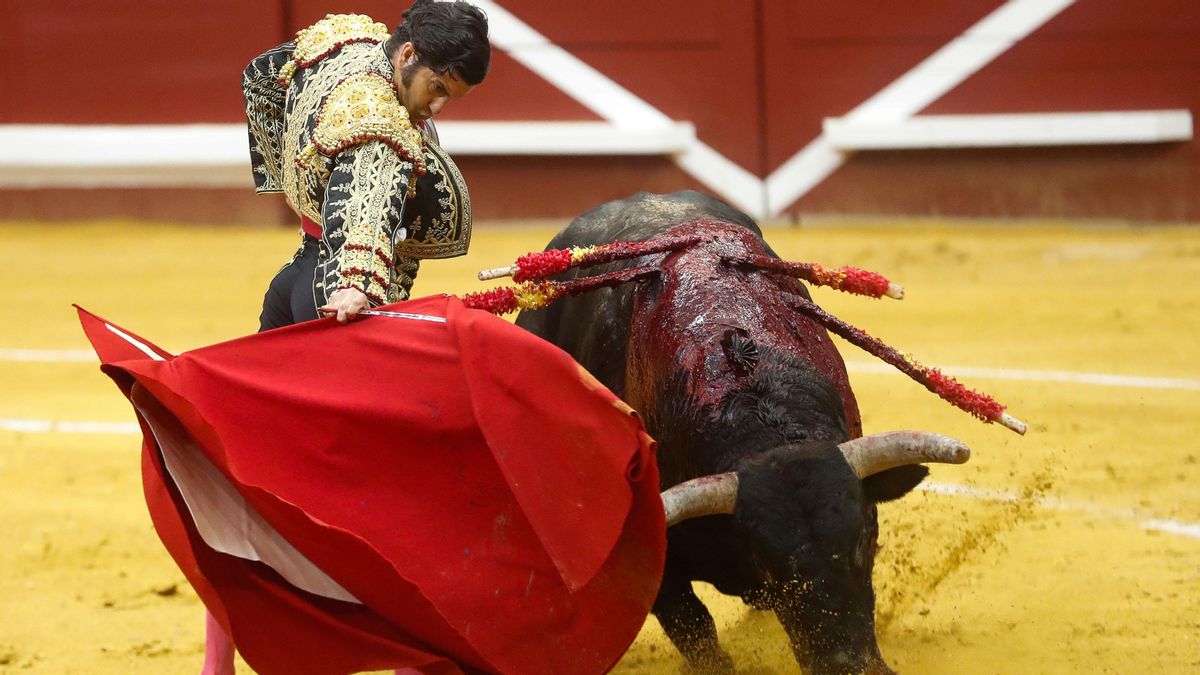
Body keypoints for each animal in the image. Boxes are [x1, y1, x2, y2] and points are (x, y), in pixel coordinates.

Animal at [489, 190, 1022, 672]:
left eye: (863, 539)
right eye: (768, 565)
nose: (848, 666)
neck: (754, 403)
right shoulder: (654, 567)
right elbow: (697, 633)